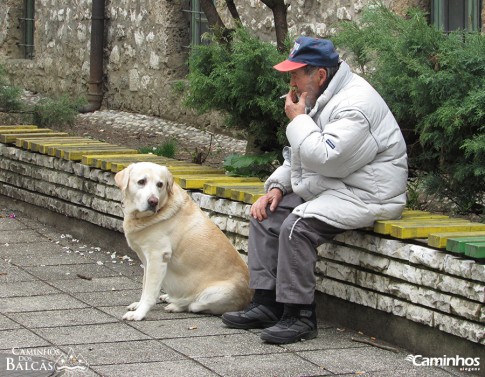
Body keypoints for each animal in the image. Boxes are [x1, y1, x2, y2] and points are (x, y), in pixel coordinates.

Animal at [115, 162, 251, 320]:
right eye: (141, 181)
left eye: (160, 184)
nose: (153, 201)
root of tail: (249, 297)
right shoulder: (147, 261)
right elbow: (145, 286)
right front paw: (138, 305)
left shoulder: (157, 258)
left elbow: (150, 292)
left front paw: (139, 313)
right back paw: (169, 297)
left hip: (213, 294)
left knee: (193, 305)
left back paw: (175, 305)